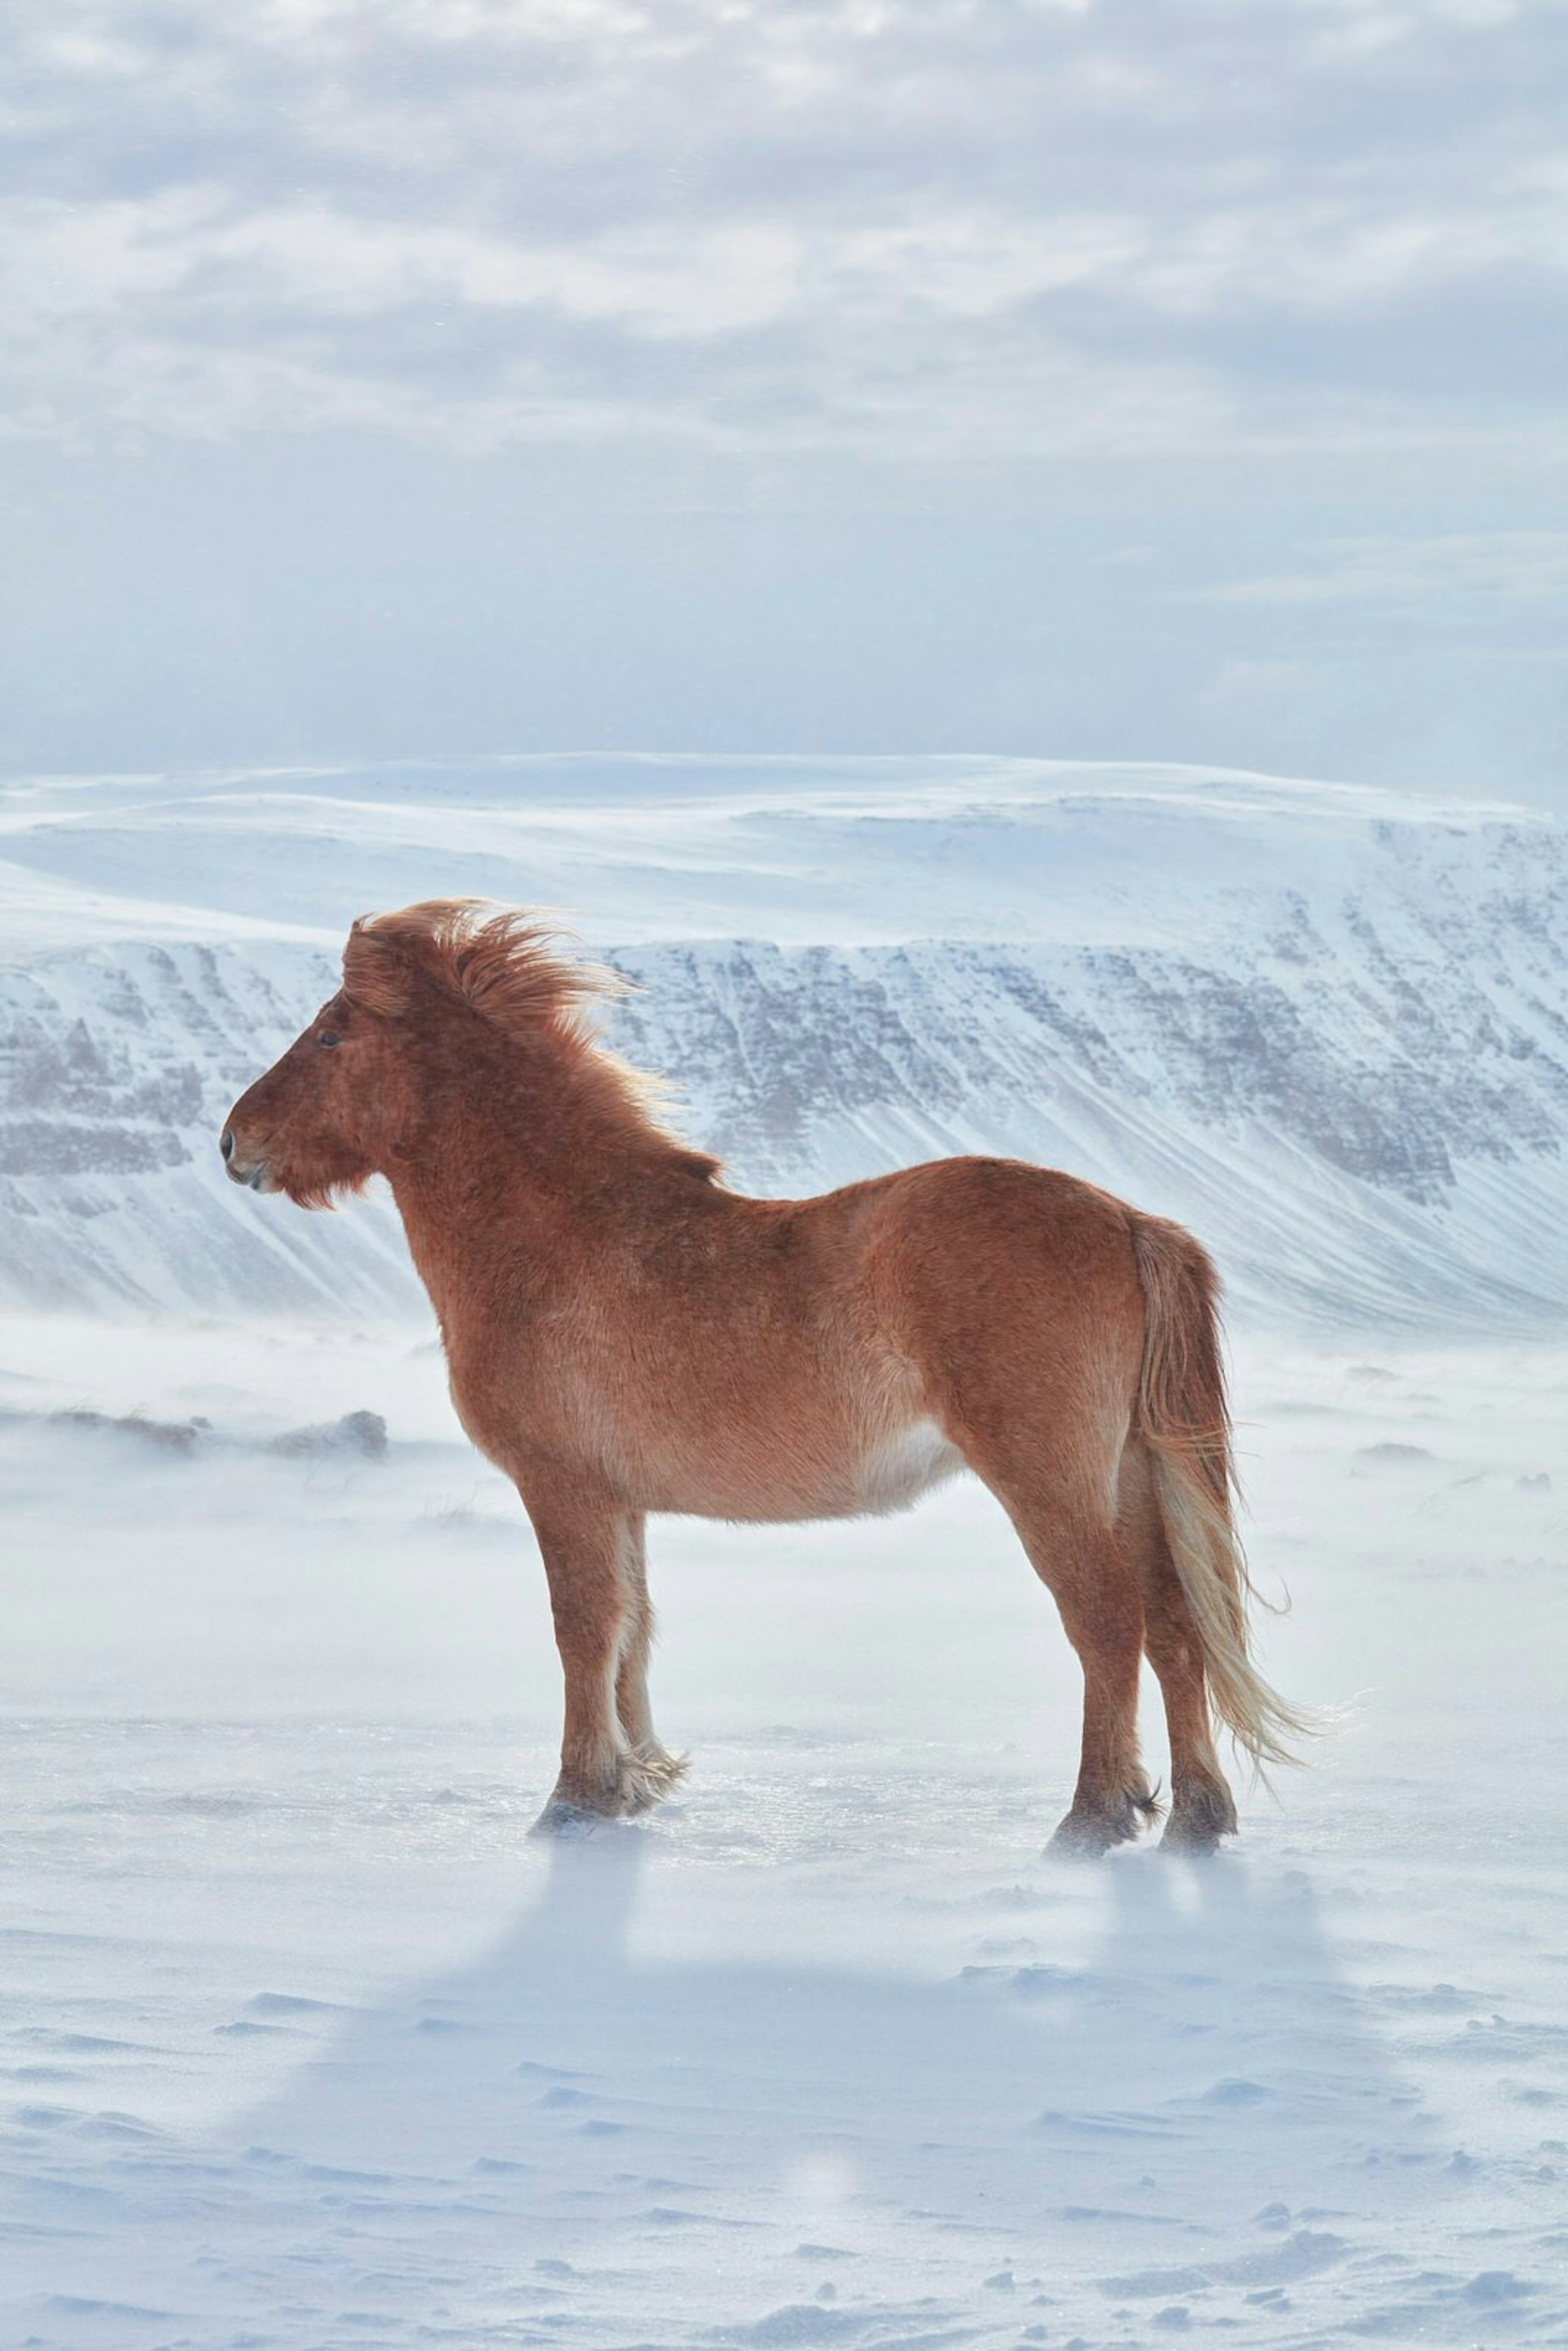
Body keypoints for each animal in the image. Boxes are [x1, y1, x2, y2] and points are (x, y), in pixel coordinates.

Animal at [215, 898, 1307, 1852]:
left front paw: (572, 1800)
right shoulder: (619, 1500)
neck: (562, 1230)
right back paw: (1197, 1817)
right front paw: (636, 1782)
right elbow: (633, 1628)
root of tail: (1127, 1219)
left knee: (1108, 1624)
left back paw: (1091, 1819)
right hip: (1129, 1475)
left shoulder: (563, 1488)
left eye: (329, 1036)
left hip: (1049, 1481)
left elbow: (583, 1631)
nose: (234, 1143)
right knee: (1175, 1627)